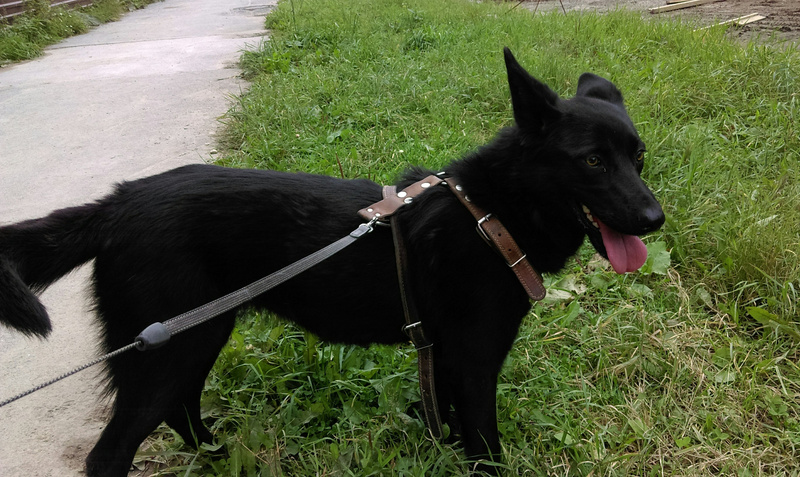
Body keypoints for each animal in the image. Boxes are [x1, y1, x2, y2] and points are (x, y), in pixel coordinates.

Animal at [0, 48, 664, 476]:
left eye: (638, 155)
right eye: (593, 161)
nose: (655, 220)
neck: (490, 210)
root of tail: (115, 203)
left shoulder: (446, 361)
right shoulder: (475, 365)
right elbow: (486, 446)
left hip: (196, 337)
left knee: (183, 411)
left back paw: (220, 458)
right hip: (168, 350)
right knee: (112, 452)